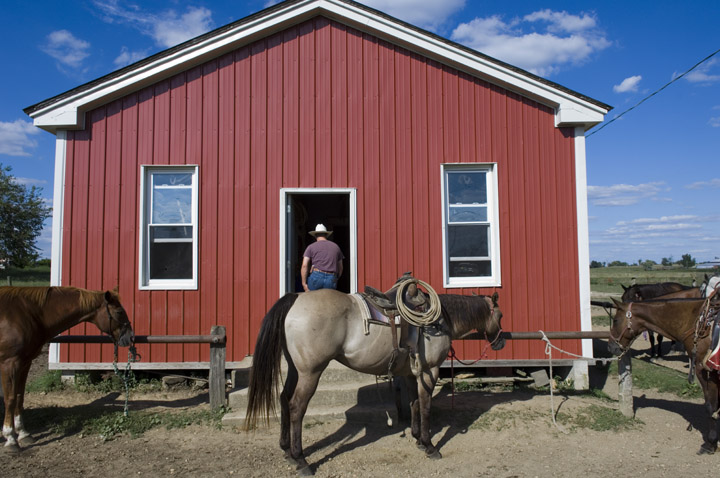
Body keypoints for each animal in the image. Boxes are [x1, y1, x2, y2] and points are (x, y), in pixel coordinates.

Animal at [0, 288, 134, 452]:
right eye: (120, 311)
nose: (130, 337)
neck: (28, 313)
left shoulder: (25, 362)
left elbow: (20, 396)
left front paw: (24, 434)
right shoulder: (10, 363)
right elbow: (10, 399)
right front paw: (11, 438)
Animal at [245, 286, 504, 476]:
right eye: (500, 315)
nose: (500, 342)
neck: (438, 321)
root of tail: (296, 298)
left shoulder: (410, 374)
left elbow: (414, 404)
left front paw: (418, 439)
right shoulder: (429, 371)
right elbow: (426, 407)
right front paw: (430, 446)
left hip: (295, 369)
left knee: (283, 399)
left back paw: (287, 452)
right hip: (310, 372)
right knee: (296, 407)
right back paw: (301, 461)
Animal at [608, 296, 720, 454]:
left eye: (616, 320)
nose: (610, 346)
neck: (695, 320)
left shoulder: (705, 372)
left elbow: (711, 406)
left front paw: (710, 443)